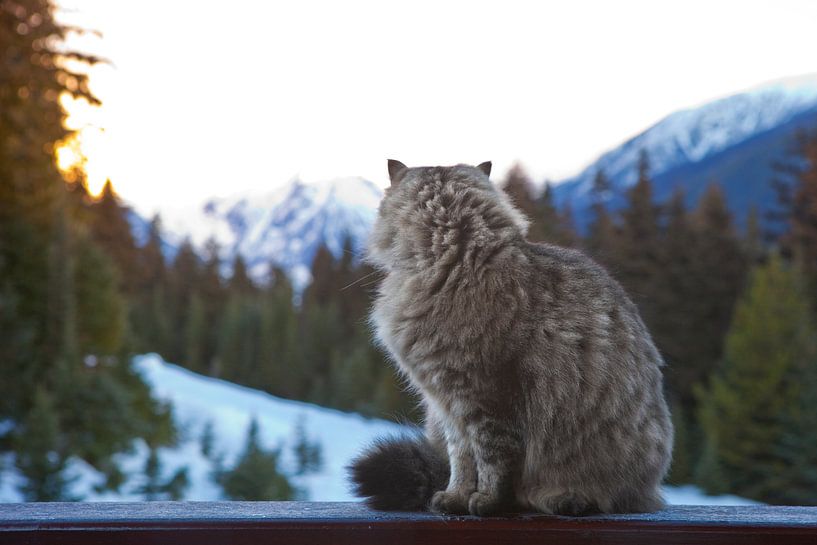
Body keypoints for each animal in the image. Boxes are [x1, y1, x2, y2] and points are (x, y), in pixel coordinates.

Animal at [348, 158, 672, 516]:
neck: (456, 261)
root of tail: (651, 490)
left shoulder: (487, 398)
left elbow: (492, 460)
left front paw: (486, 502)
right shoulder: (448, 405)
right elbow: (461, 461)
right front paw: (455, 498)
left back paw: (567, 499)